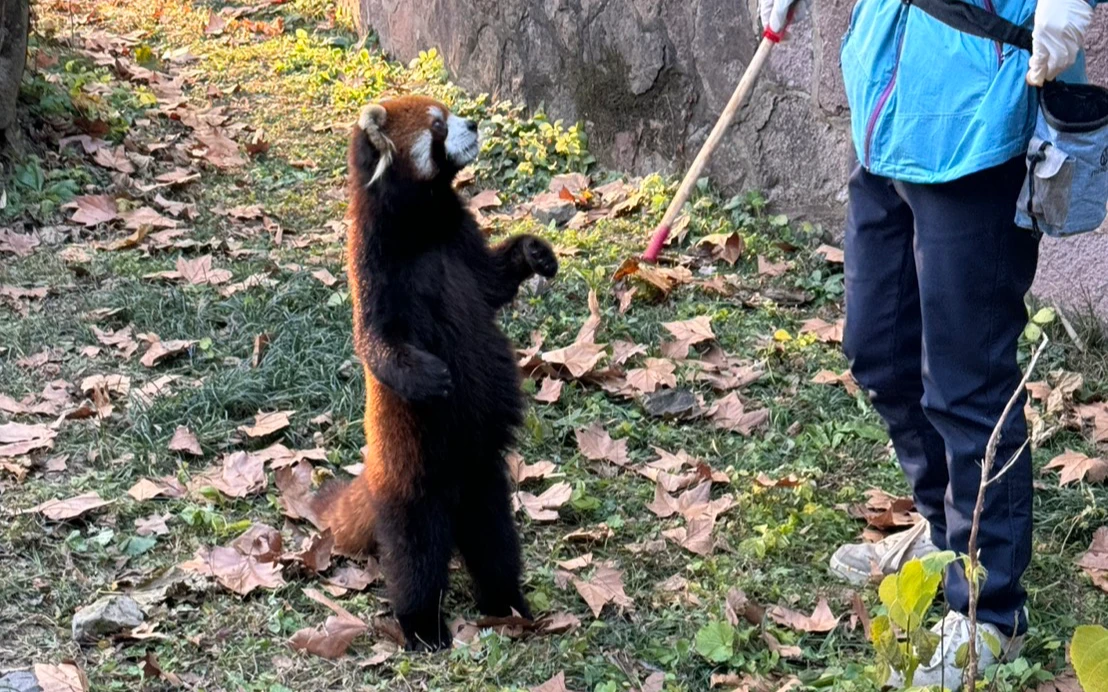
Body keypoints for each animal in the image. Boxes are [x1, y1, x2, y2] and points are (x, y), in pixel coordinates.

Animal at [313, 95, 559, 651]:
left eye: (449, 112)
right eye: (438, 127)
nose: (474, 123)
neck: (423, 220)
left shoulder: (462, 238)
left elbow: (493, 284)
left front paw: (534, 251)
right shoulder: (374, 265)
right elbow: (375, 342)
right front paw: (428, 376)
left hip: (485, 481)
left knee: (495, 545)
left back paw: (508, 603)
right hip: (415, 483)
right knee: (417, 560)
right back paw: (423, 626)